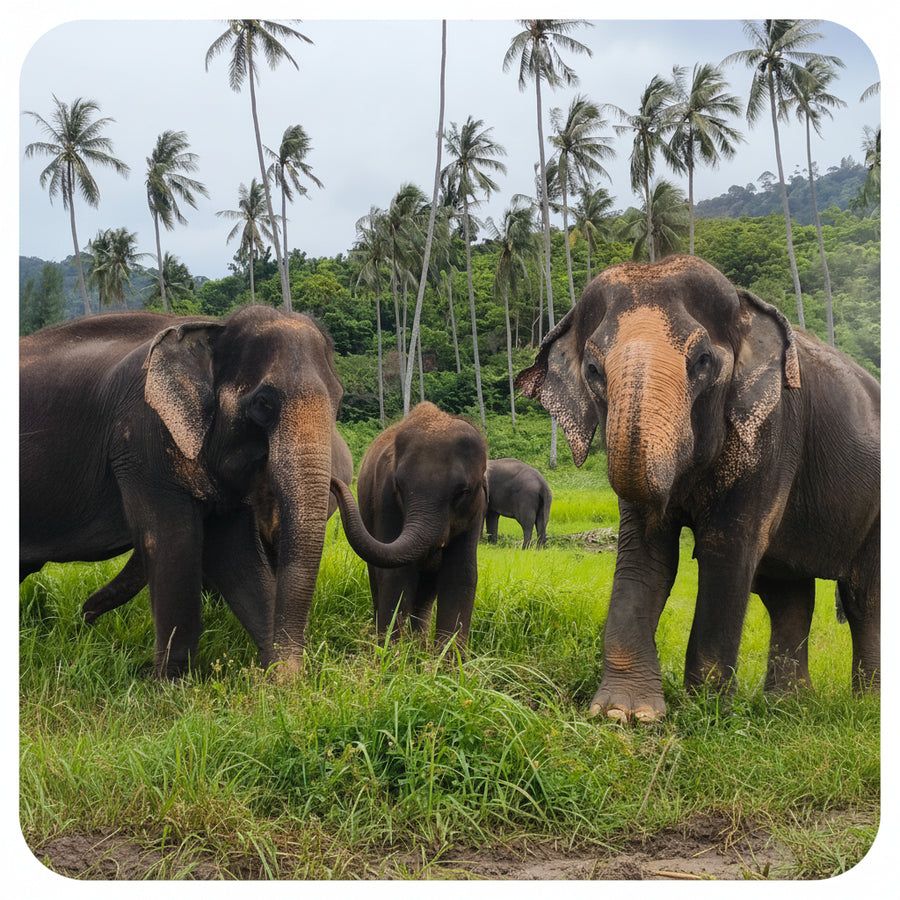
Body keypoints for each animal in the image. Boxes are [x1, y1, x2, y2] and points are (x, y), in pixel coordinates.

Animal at [329, 402, 487, 643]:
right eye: (399, 486)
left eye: (463, 492)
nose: (333, 481)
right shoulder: (386, 498)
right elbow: (397, 574)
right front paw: (390, 650)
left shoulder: (477, 509)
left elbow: (461, 575)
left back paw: (419, 644)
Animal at [517, 255, 880, 723]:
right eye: (593, 371)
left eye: (703, 361)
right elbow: (646, 553)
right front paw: (624, 713)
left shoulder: (773, 432)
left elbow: (726, 551)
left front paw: (705, 712)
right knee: (788, 593)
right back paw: (788, 706)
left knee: (862, 597)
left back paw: (864, 704)